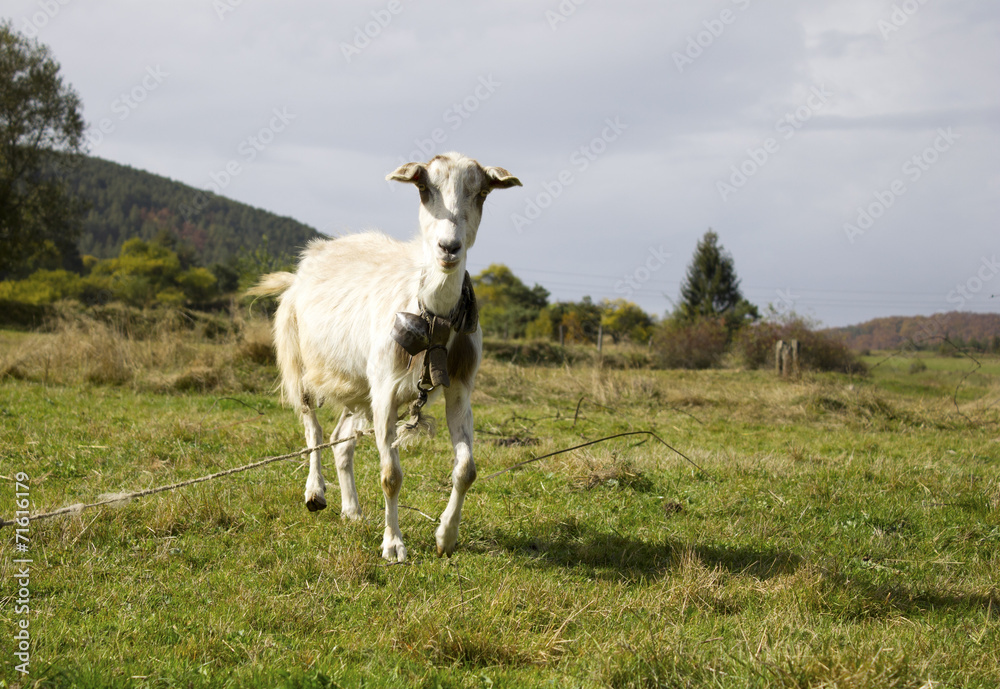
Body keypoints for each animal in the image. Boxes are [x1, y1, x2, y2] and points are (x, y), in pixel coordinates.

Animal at [249, 153, 521, 561]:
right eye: (424, 188)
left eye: (482, 193)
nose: (449, 247)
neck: (432, 315)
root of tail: (301, 269)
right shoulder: (387, 391)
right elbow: (391, 475)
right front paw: (393, 544)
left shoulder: (459, 388)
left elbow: (466, 469)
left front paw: (446, 537)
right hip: (299, 360)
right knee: (313, 428)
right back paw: (315, 492)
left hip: (360, 386)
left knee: (341, 440)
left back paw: (352, 511)